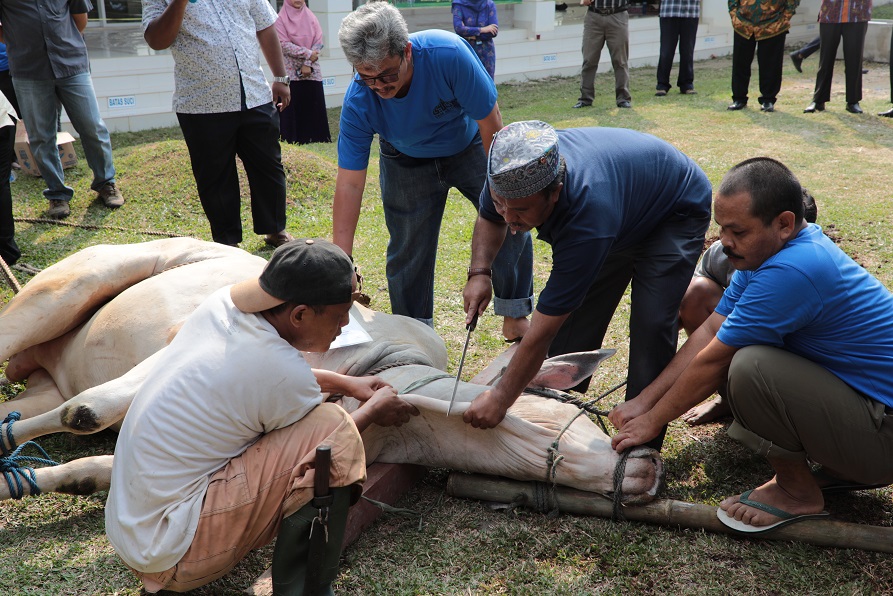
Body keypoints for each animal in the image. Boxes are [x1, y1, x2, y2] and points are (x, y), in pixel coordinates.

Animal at [0, 237, 664, 502]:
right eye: (566, 410)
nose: (648, 465)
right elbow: (89, 412)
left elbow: (93, 466)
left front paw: (24, 482)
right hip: (59, 293)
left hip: (40, 378)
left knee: (35, 404)